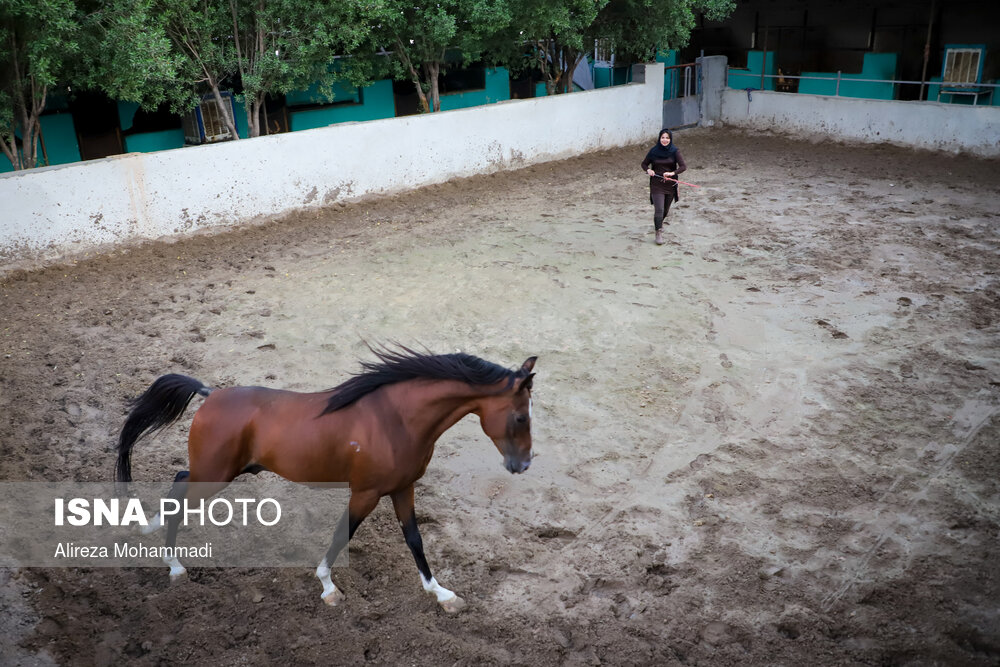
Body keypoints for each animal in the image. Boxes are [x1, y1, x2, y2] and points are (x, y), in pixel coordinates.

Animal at [115, 348, 540, 612]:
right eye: (521, 416)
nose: (522, 465)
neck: (397, 420)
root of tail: (211, 393)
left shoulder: (403, 488)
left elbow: (415, 540)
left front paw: (442, 594)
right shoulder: (366, 493)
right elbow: (341, 535)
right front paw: (328, 588)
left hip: (225, 470)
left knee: (178, 479)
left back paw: (148, 529)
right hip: (215, 475)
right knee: (179, 499)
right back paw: (174, 567)